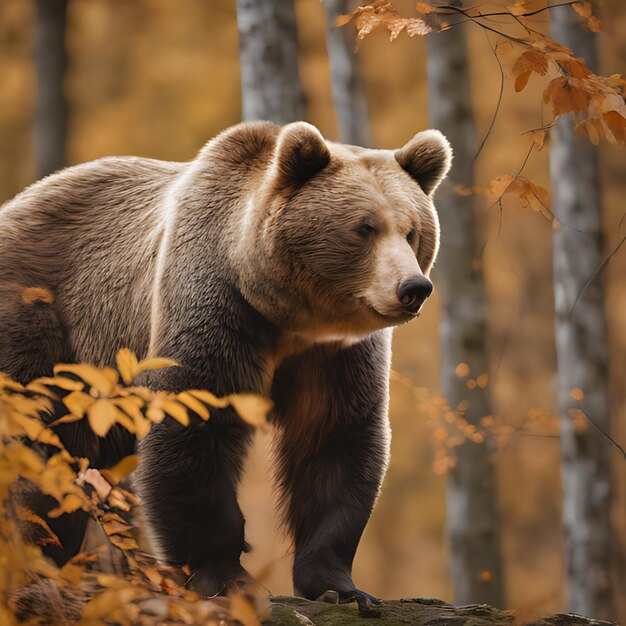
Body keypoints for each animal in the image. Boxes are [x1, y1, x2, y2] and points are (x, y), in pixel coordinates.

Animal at [0, 120, 448, 608]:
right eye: (365, 227)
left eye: (412, 230)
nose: (414, 287)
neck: (287, 314)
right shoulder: (216, 303)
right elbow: (195, 419)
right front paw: (224, 574)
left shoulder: (335, 354)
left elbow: (334, 439)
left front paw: (339, 586)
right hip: (41, 317)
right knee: (38, 445)